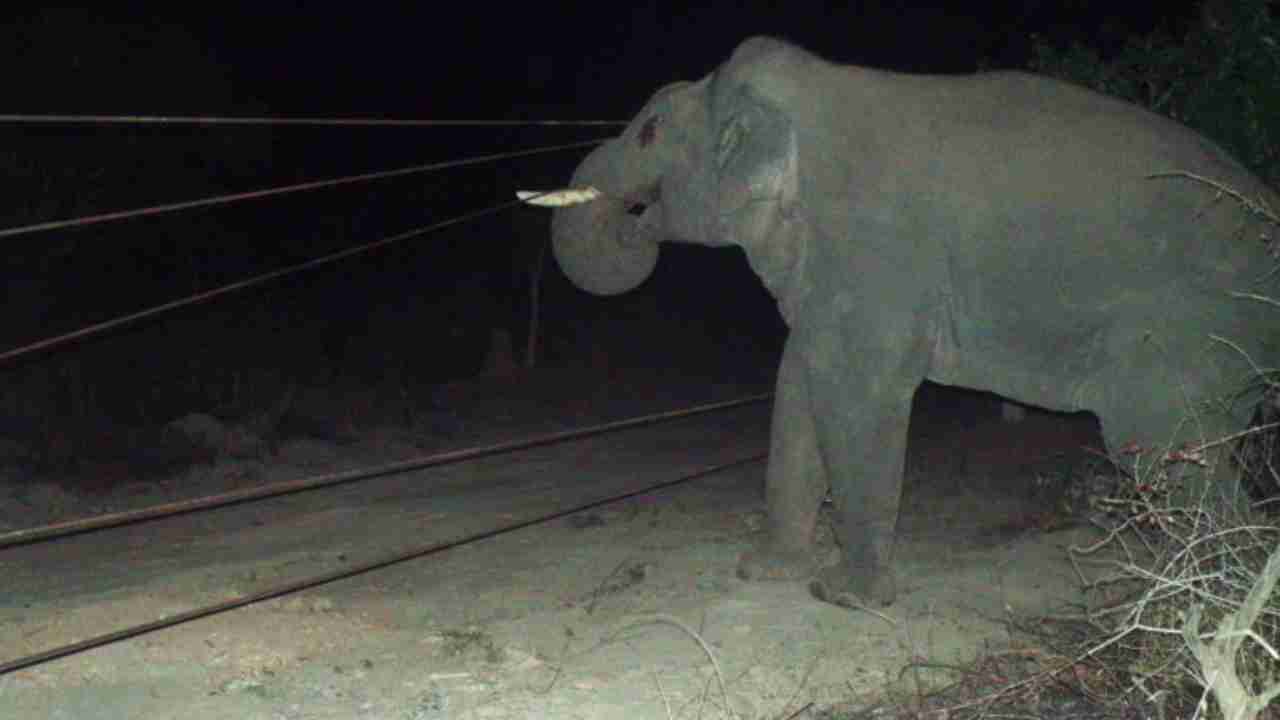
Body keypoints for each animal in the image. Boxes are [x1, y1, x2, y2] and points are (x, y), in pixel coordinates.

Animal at [550, 36, 1280, 602]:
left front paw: (844, 596)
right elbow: (799, 385)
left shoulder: (876, 248)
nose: (631, 224)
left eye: (649, 129)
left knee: (1155, 445)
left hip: (1190, 329)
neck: (811, 92)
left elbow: (856, 392)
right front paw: (764, 572)